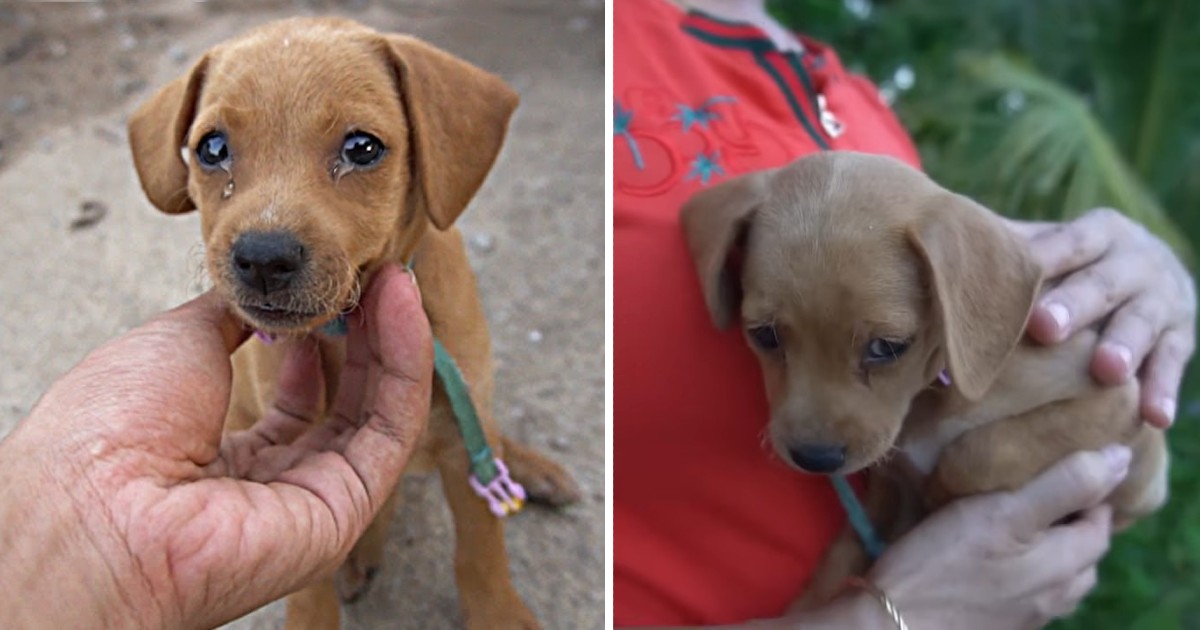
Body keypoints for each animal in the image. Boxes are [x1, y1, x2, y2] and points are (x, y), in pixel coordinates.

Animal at [129, 17, 578, 624]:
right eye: (212, 148)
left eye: (362, 148)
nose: (263, 258)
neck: (347, 329)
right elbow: (308, 588)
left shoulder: (465, 442)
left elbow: (481, 552)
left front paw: (501, 616)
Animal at [681, 151, 1166, 604]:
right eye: (764, 334)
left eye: (886, 347)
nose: (815, 458)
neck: (935, 392)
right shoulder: (883, 490)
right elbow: (839, 562)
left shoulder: (1118, 405)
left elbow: (983, 449)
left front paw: (940, 492)